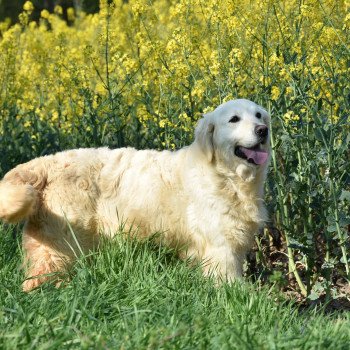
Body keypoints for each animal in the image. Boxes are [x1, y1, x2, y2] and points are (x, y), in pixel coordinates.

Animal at [0, 98, 270, 290]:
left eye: (258, 114)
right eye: (234, 119)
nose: (263, 130)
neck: (226, 176)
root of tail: (48, 161)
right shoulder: (221, 248)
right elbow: (230, 283)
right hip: (61, 244)